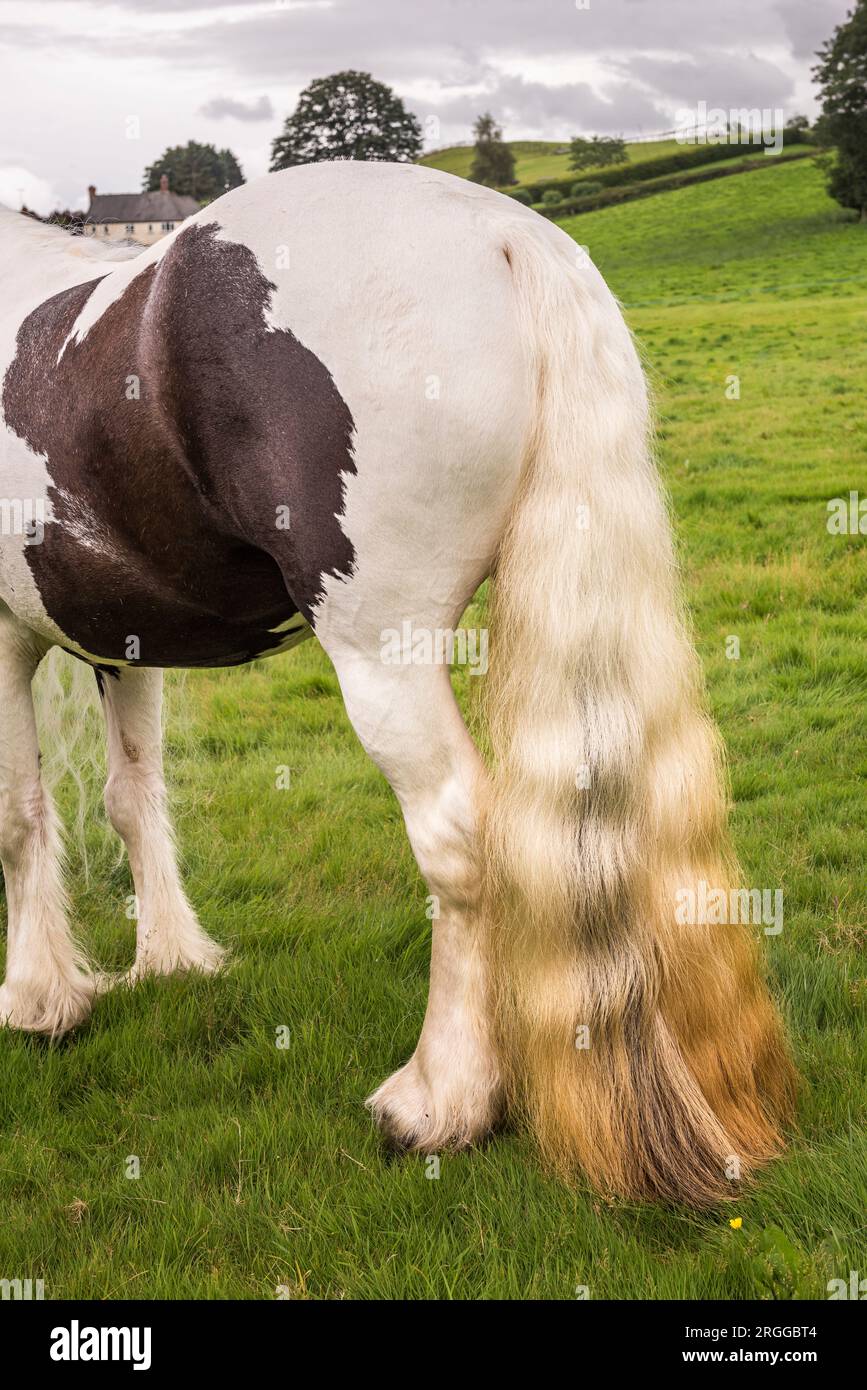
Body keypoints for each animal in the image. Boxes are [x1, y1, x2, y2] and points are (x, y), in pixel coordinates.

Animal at [0, 162, 796, 1206]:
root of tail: (503, 231)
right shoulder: (122, 645)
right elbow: (132, 799)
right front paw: (168, 962)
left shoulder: (4, 639)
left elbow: (19, 817)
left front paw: (37, 1000)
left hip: (383, 656)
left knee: (460, 835)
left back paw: (439, 1100)